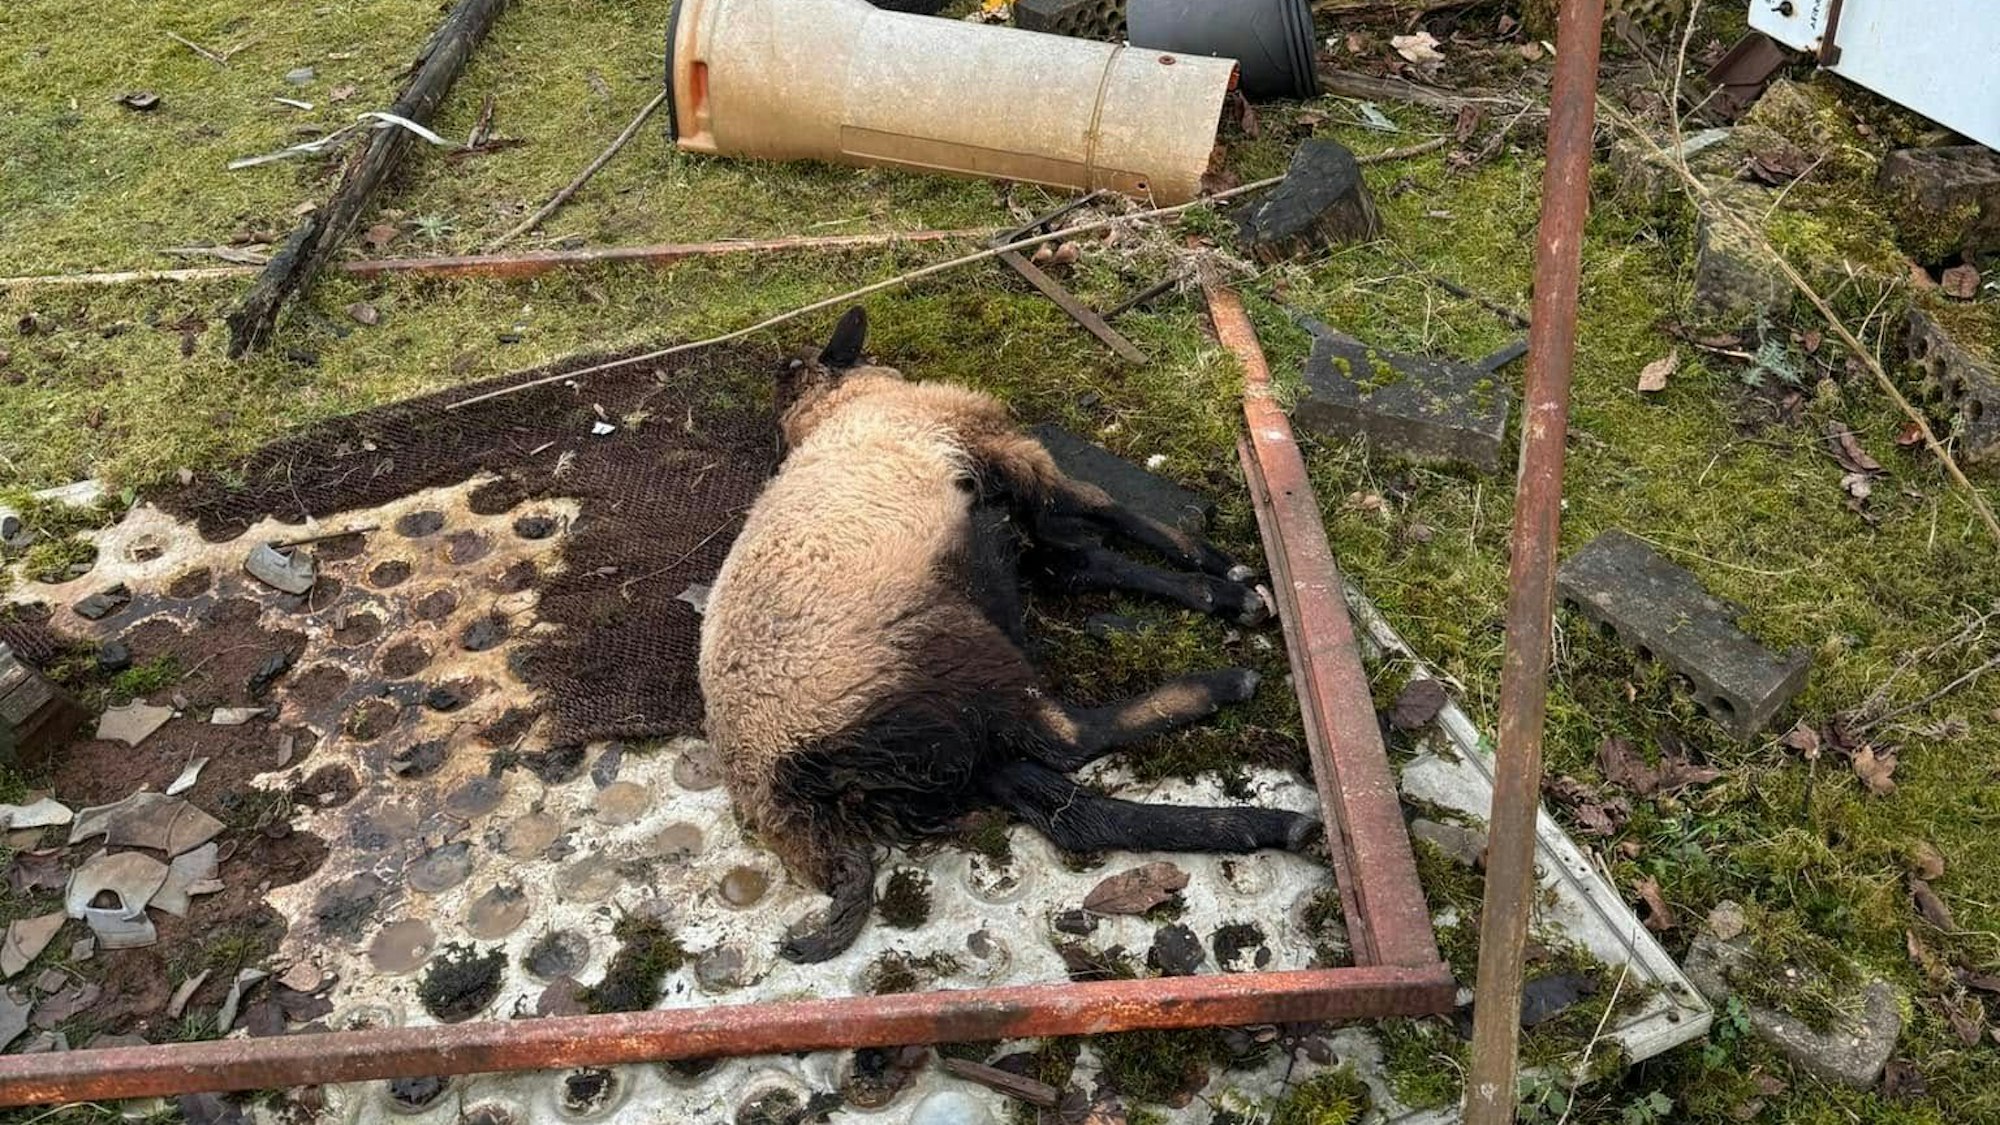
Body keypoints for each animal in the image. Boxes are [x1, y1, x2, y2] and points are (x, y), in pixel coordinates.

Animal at [698, 308, 1319, 962]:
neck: (839, 407)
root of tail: (787, 794)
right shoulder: (1007, 452)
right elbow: (1105, 506)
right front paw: (1227, 577)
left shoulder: (1014, 528)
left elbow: (1084, 560)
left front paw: (1218, 587)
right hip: (953, 661)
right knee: (1070, 738)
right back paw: (1225, 689)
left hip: (951, 755)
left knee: (1077, 816)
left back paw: (1272, 825)